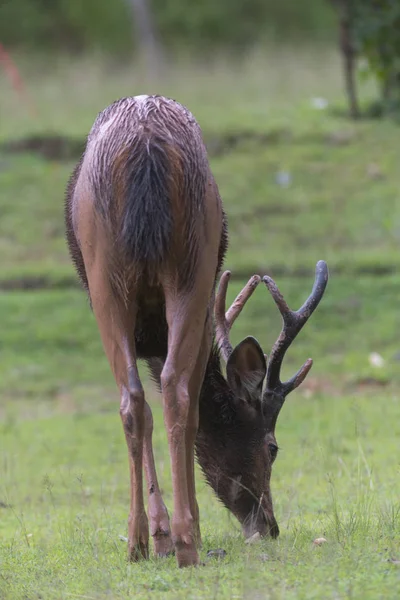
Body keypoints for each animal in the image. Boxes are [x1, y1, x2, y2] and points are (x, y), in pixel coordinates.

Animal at [65, 94, 328, 568]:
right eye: (273, 446)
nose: (269, 526)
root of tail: (146, 147)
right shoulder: (206, 316)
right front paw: (175, 534)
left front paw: (160, 537)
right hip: (191, 265)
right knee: (172, 393)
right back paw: (185, 540)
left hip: (111, 279)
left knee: (138, 398)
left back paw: (144, 542)